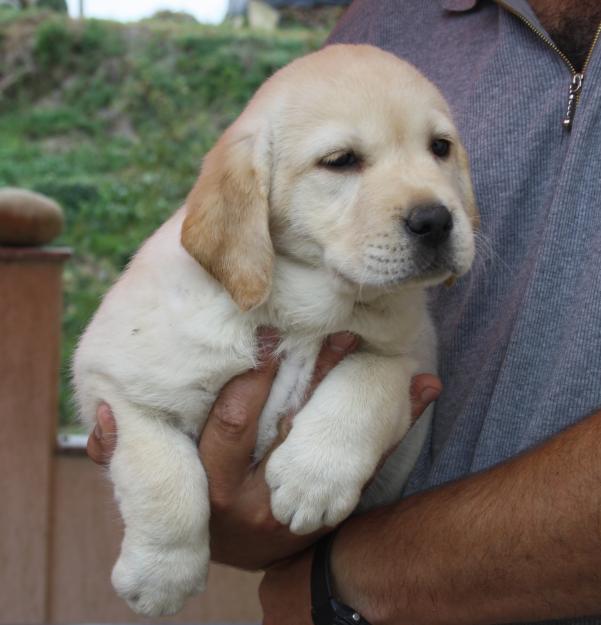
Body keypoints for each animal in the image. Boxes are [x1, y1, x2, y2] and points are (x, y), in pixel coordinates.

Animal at [74, 42, 478, 616]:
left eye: (440, 148)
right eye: (341, 161)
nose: (436, 221)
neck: (304, 311)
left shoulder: (413, 357)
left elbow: (369, 379)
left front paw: (314, 477)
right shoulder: (117, 386)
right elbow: (166, 479)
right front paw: (161, 577)